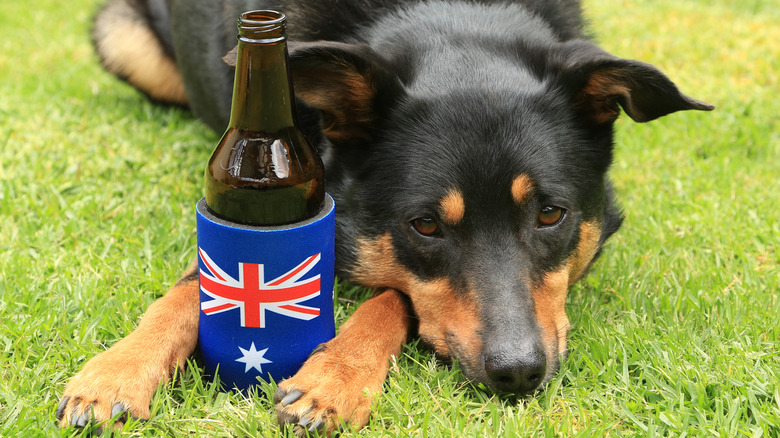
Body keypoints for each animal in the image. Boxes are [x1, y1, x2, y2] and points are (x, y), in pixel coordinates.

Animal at [54, 0, 712, 432]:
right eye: (425, 226)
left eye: (551, 214)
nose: (519, 373)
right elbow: (190, 287)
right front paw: (117, 371)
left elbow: (395, 295)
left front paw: (332, 378)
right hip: (122, 36)